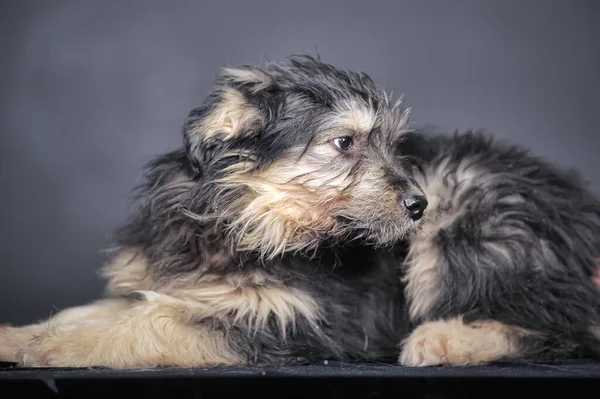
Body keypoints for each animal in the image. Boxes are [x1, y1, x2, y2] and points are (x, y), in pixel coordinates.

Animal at [1, 55, 600, 368]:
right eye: (345, 143)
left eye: (392, 144)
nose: (417, 205)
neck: (244, 222)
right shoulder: (164, 280)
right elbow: (91, 311)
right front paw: (19, 334)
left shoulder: (283, 319)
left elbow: (148, 325)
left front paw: (48, 347)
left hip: (469, 214)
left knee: (562, 325)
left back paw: (443, 339)